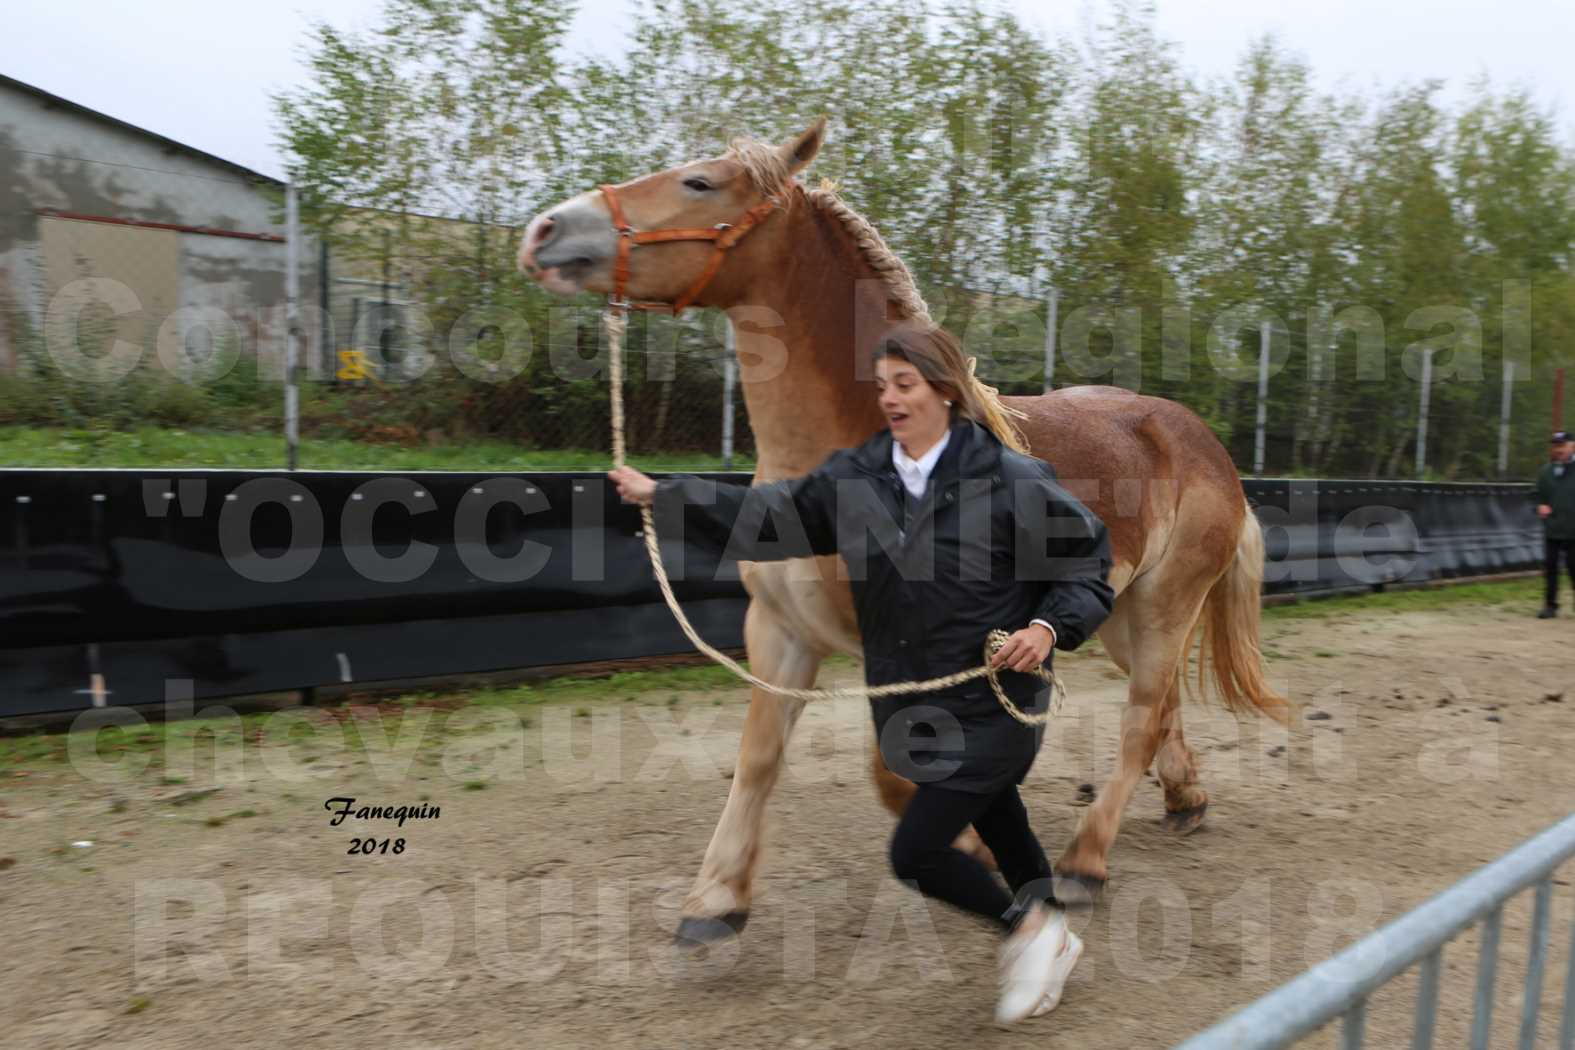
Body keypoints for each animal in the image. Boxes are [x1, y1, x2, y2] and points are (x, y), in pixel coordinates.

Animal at [522, 121, 1285, 944]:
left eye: (700, 182)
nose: (546, 232)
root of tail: (1203, 444)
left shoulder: (894, 653)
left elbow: (895, 776)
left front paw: (973, 847)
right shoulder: (781, 632)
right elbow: (759, 759)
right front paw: (715, 901)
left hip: (1165, 605)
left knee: (1141, 719)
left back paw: (1084, 863)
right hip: (1119, 615)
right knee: (1164, 706)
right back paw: (1185, 801)